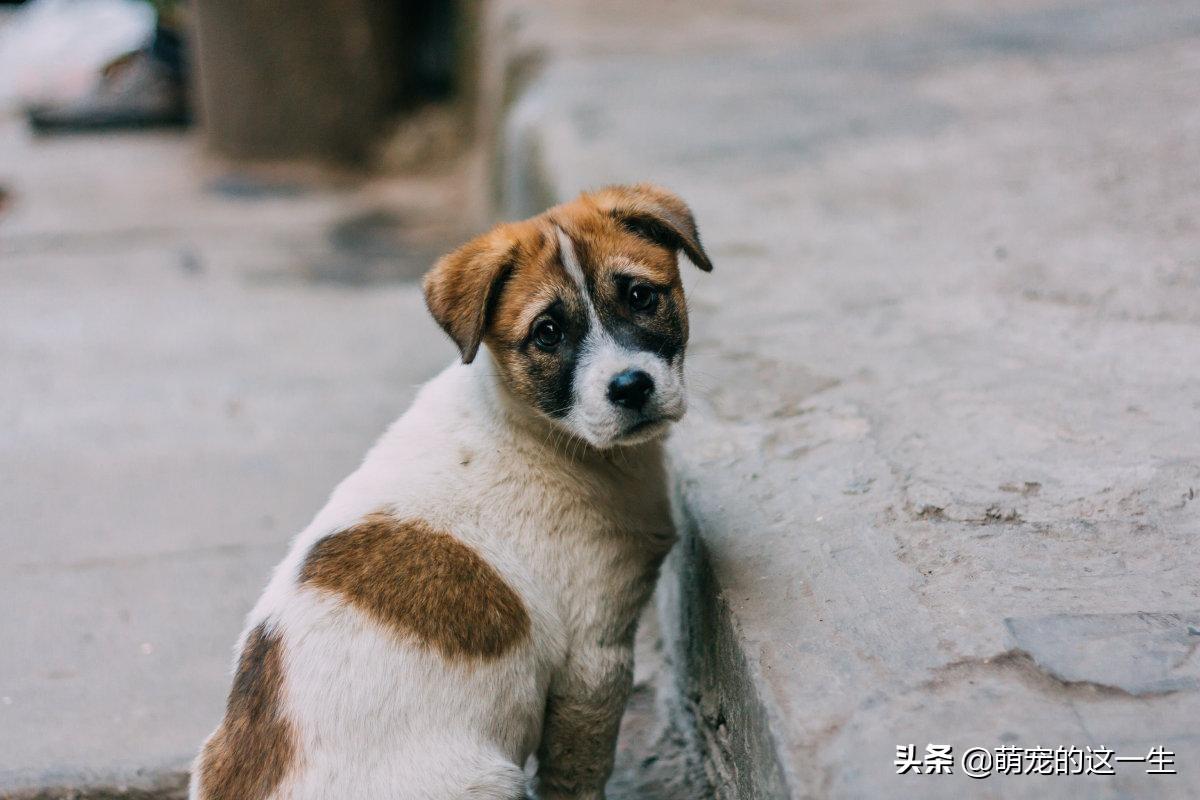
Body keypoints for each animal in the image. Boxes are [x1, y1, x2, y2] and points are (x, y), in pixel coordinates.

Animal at [188, 183, 710, 800]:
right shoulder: (594, 657)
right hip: (489, 779)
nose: (631, 387)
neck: (540, 431)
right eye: (548, 333)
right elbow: (578, 773)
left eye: (640, 295)